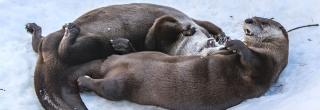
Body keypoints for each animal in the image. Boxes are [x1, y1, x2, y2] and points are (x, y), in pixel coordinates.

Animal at [25, 3, 225, 109]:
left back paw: (71, 33)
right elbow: (204, 24)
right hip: (53, 42)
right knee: (40, 44)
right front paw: (220, 35)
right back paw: (34, 28)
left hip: (92, 44)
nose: (215, 46)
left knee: (65, 51)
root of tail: (47, 66)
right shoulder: (187, 21)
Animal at [76, 16, 288, 110]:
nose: (249, 19)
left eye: (263, 22)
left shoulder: (263, 67)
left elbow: (250, 59)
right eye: (255, 18)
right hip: (147, 54)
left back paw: (83, 80)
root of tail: (109, 65)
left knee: (107, 87)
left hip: (121, 85)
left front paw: (233, 43)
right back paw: (122, 46)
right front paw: (223, 44)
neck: (269, 53)